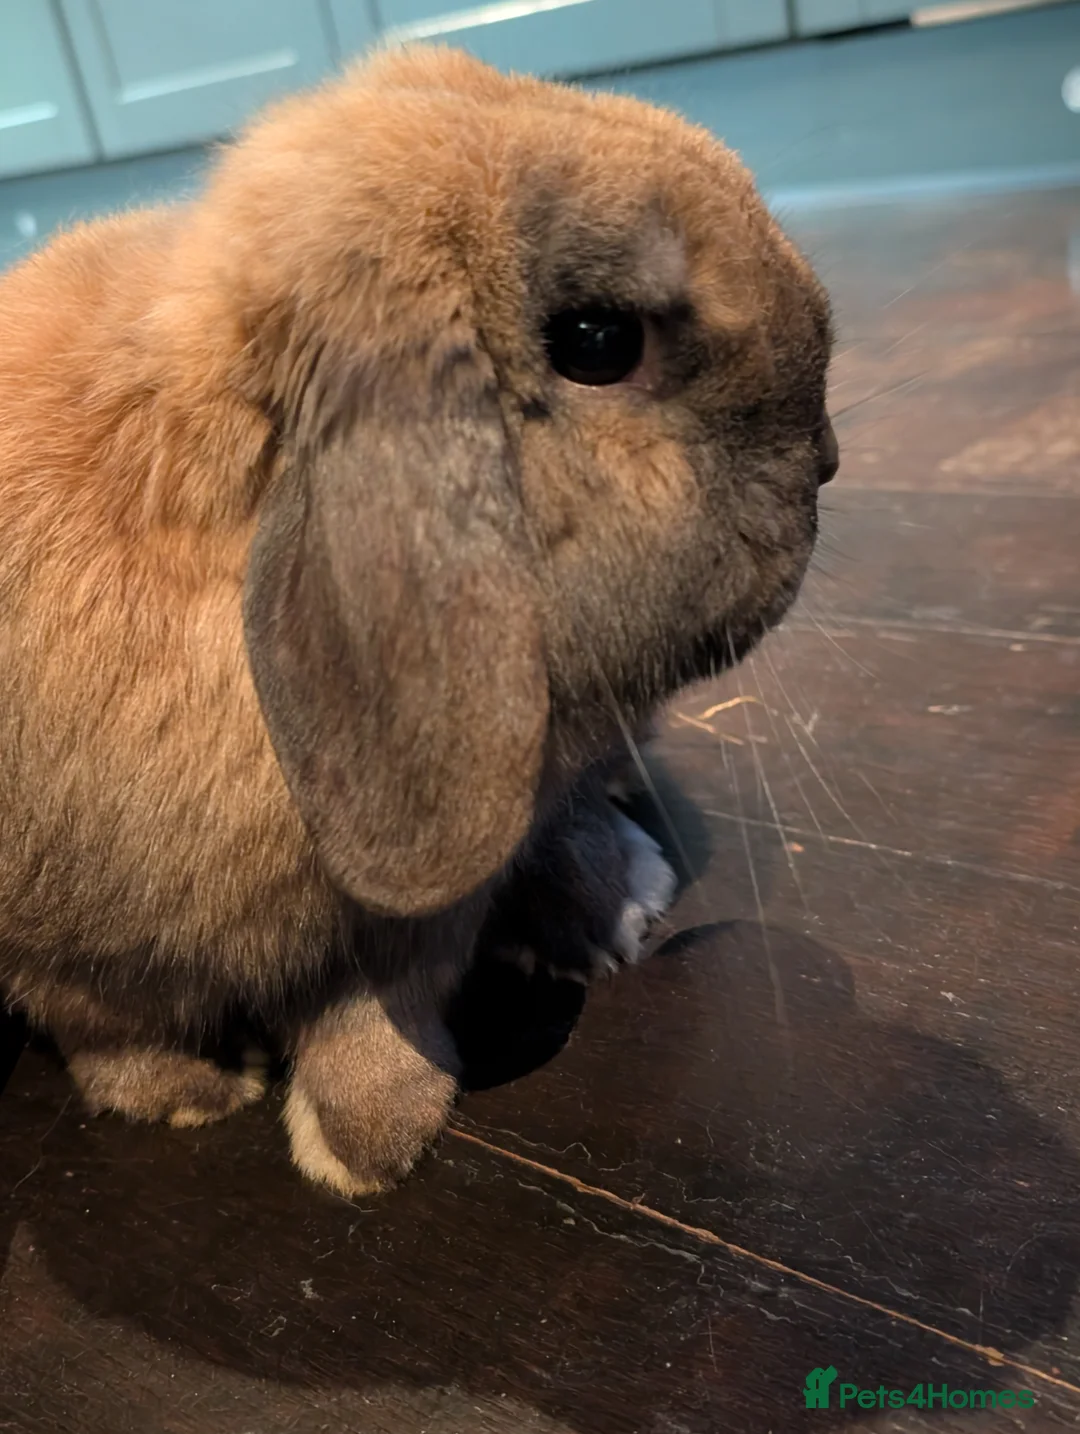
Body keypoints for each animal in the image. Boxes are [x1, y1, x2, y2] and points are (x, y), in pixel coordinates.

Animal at [0, 45, 838, 1196]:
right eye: (597, 340)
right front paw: (192, 1101)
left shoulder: (425, 912)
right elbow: (112, 1035)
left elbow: (374, 1020)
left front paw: (363, 1151)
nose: (828, 457)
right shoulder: (67, 957)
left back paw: (616, 905)